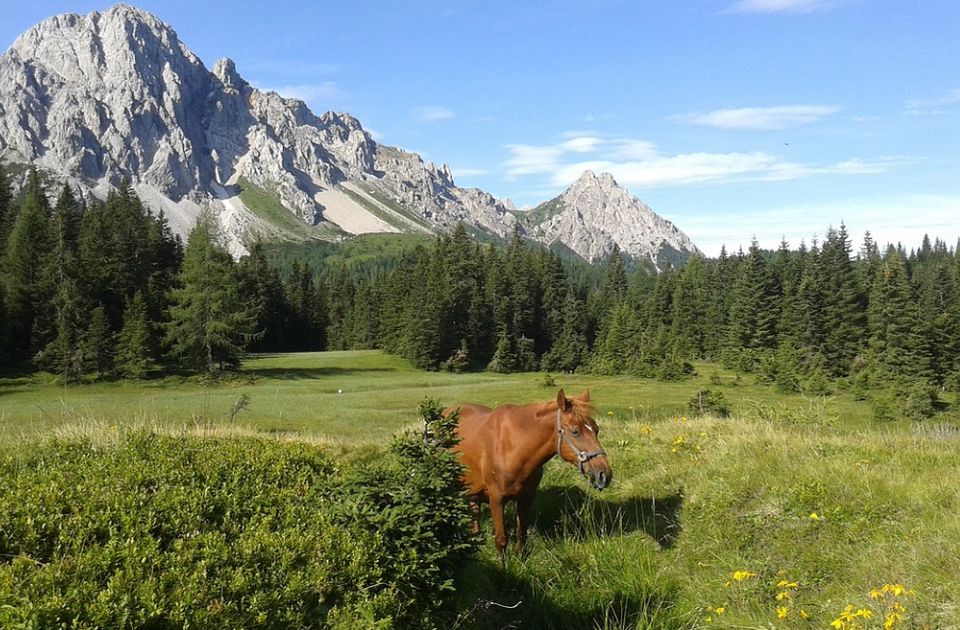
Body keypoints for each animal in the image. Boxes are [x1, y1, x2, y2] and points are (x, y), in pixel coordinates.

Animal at [444, 390, 612, 556]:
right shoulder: (496, 498)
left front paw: (520, 558)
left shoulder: (527, 497)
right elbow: (501, 540)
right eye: (575, 431)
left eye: (596, 429)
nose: (604, 474)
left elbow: (521, 533)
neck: (512, 447)